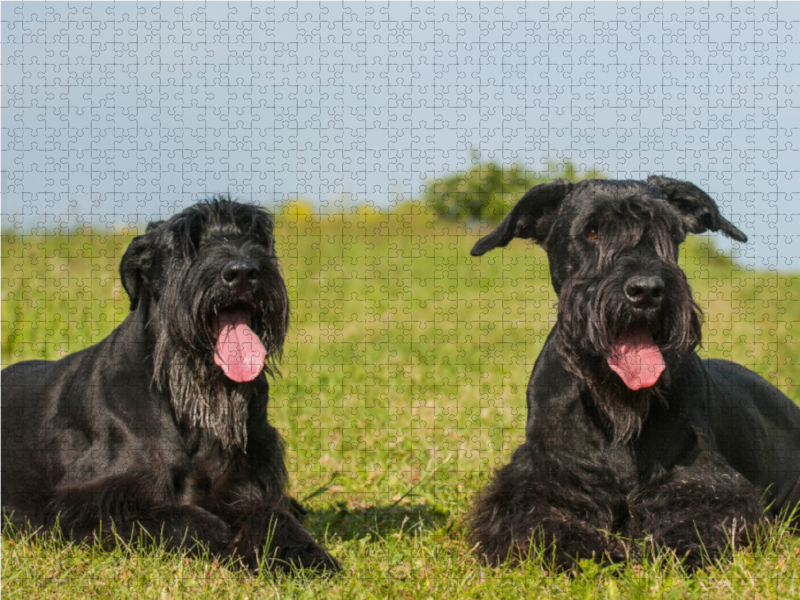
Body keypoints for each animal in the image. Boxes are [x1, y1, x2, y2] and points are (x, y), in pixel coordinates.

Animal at [0, 197, 338, 572]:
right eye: (185, 244)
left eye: (257, 237)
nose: (242, 272)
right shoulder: (87, 500)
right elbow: (183, 518)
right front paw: (225, 541)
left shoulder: (251, 482)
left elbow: (271, 515)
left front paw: (302, 555)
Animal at [468, 176, 800, 568]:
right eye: (592, 231)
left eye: (667, 231)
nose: (647, 290)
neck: (615, 411)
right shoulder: (538, 481)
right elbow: (538, 520)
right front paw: (582, 549)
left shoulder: (705, 480)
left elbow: (698, 516)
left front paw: (672, 548)